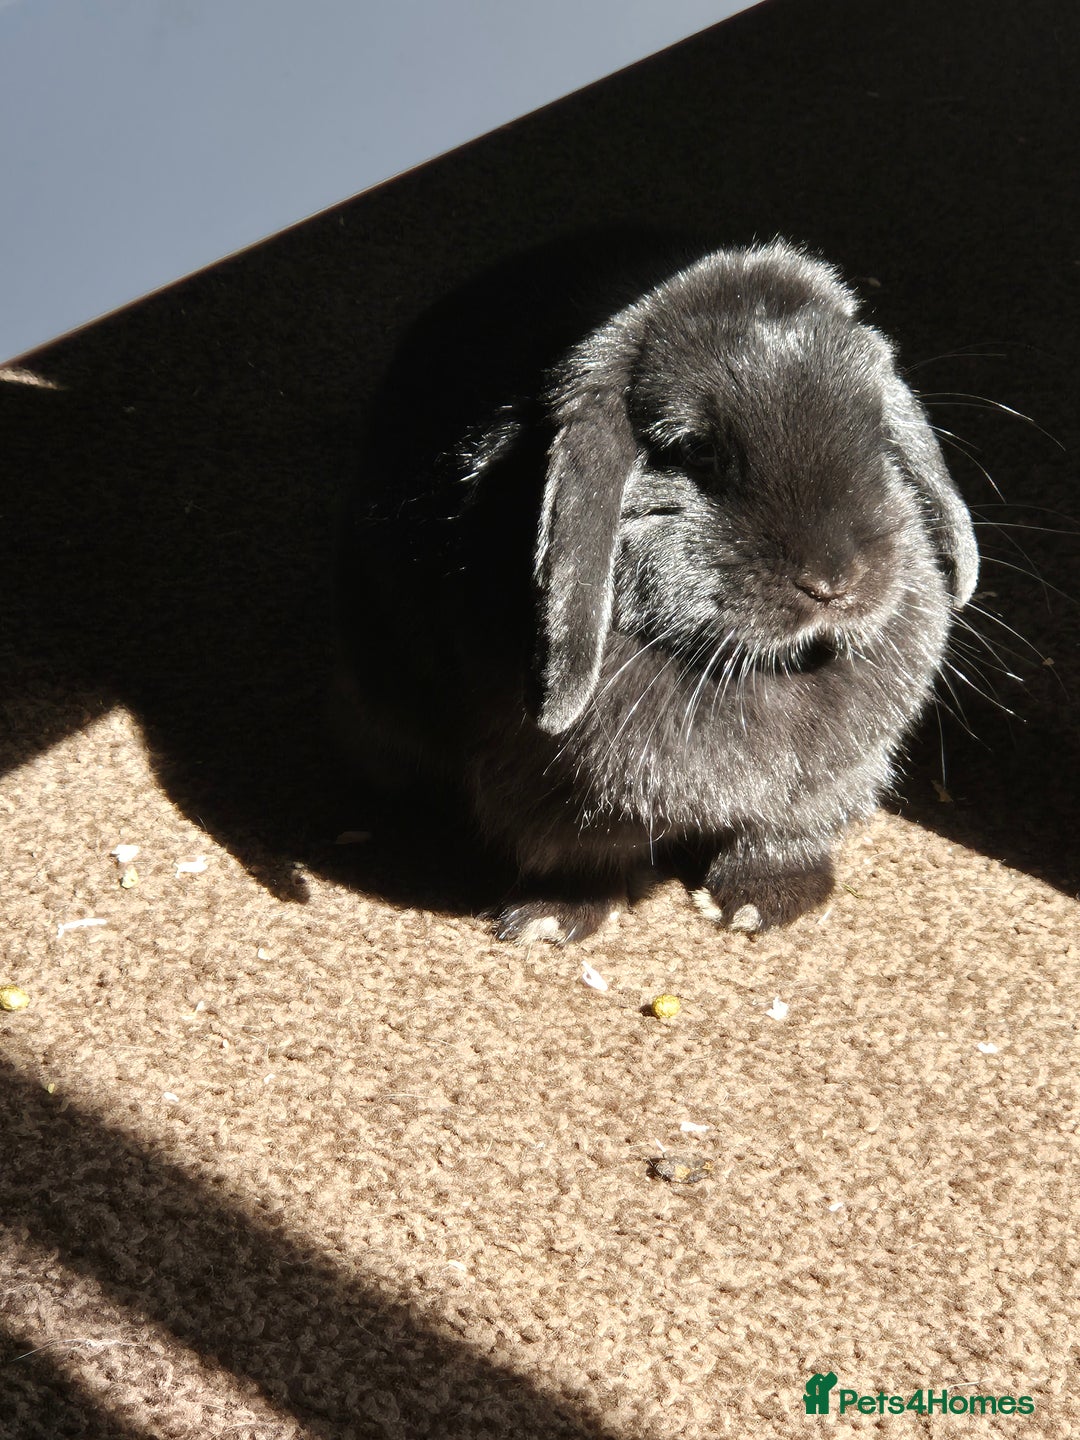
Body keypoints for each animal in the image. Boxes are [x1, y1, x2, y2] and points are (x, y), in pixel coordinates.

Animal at [336, 236, 978, 943]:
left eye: (874, 430)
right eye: (694, 452)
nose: (833, 582)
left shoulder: (826, 782)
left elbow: (785, 833)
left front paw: (760, 902)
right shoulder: (549, 787)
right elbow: (573, 853)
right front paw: (554, 918)